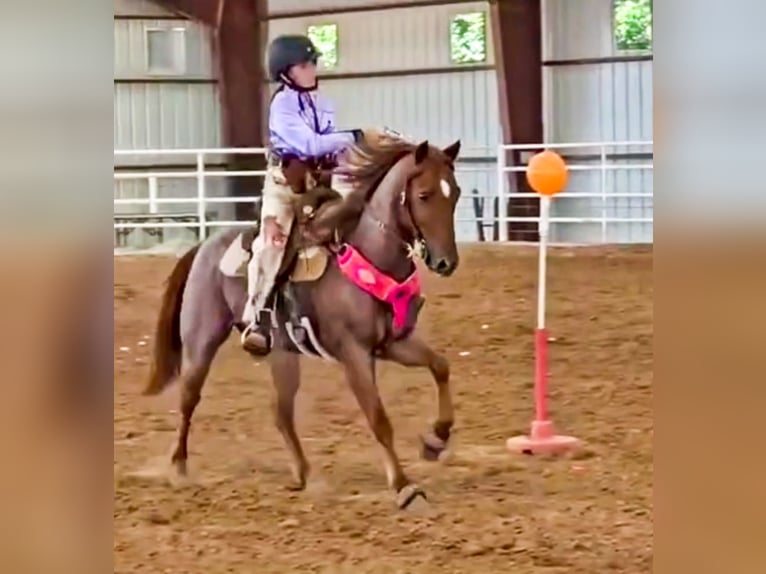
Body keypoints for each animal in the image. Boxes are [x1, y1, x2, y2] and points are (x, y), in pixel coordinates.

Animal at [143, 134, 462, 509]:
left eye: (455, 193)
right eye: (424, 195)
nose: (446, 263)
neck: (369, 253)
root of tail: (204, 245)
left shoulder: (394, 343)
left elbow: (440, 366)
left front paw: (435, 440)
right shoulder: (354, 353)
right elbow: (378, 417)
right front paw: (404, 487)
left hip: (282, 352)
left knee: (281, 411)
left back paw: (305, 474)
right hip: (201, 340)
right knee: (188, 399)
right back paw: (178, 468)